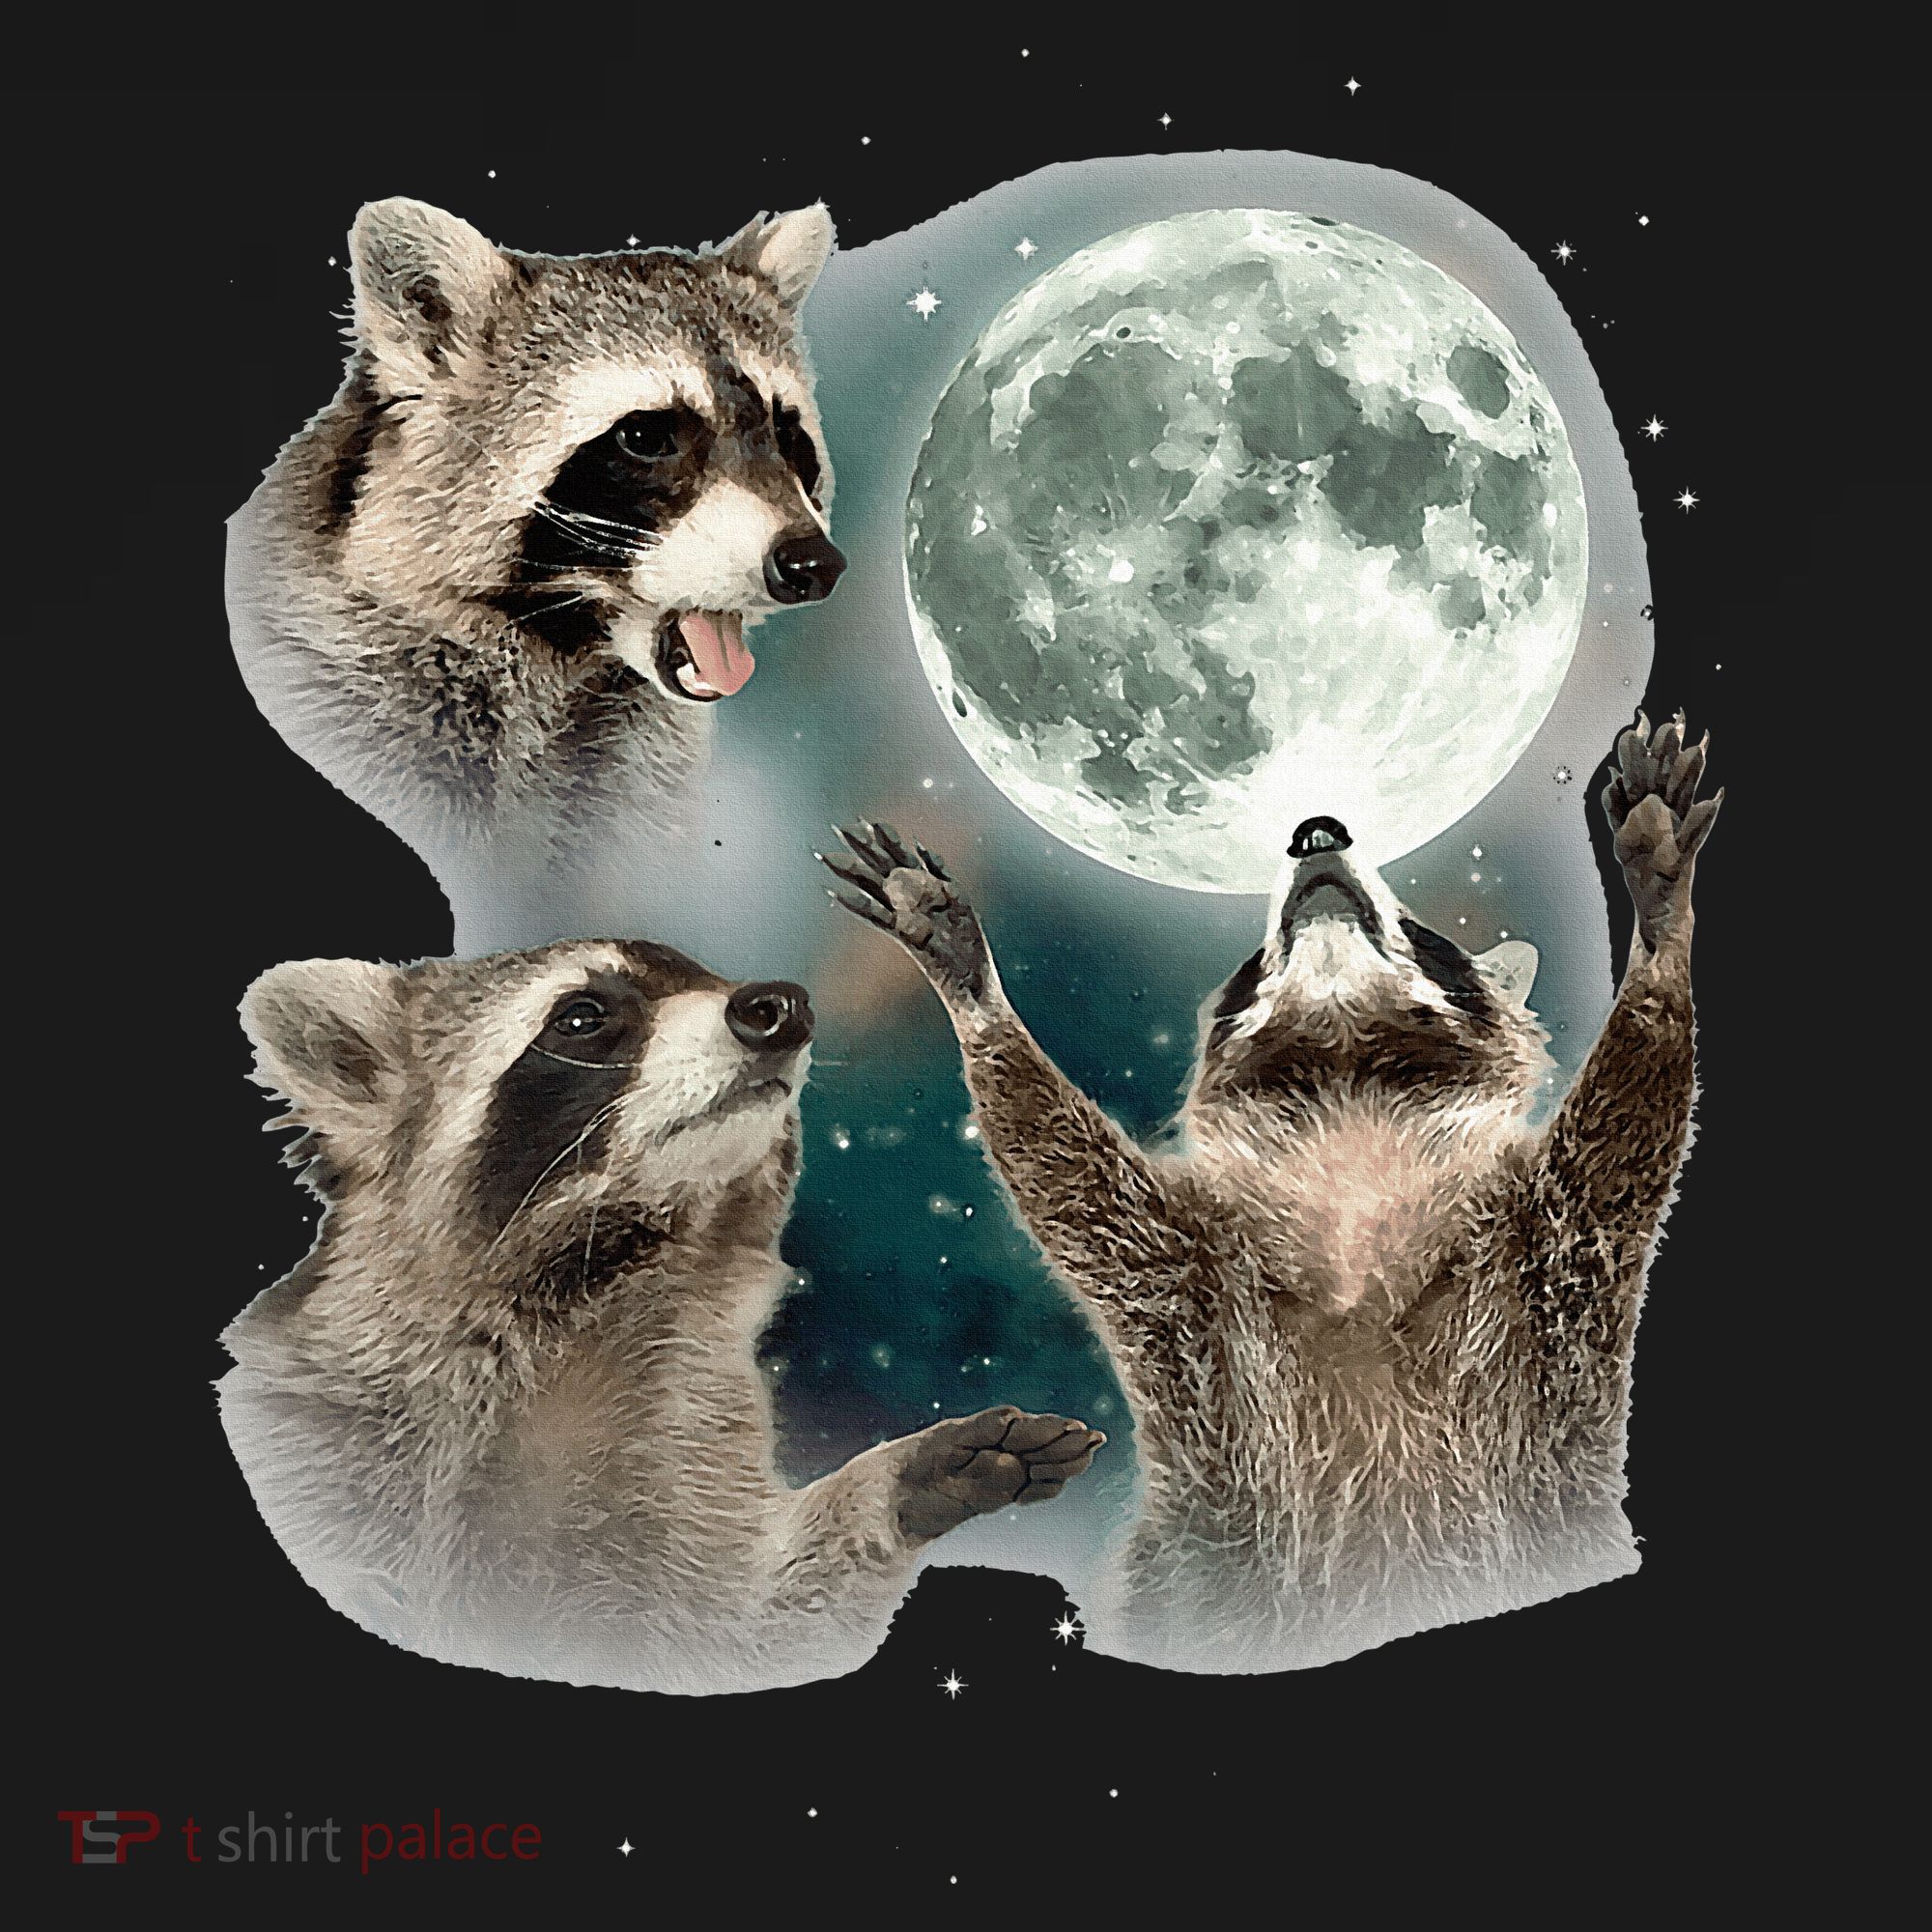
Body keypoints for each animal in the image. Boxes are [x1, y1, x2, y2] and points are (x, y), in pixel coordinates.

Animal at [218, 938, 1102, 1695]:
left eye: (710, 976)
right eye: (581, 1015)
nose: (780, 1006)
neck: (598, 1287)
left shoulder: (679, 1445)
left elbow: (735, 1629)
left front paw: (895, 1481)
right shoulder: (323, 1440)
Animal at [824, 713, 1720, 1673]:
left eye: (1419, 928)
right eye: (1259, 958)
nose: (1317, 832)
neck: (1350, 1106)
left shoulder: (1549, 1240)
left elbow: (1626, 1123)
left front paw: (1659, 911)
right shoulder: (1192, 1278)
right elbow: (1073, 1183)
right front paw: (968, 979)